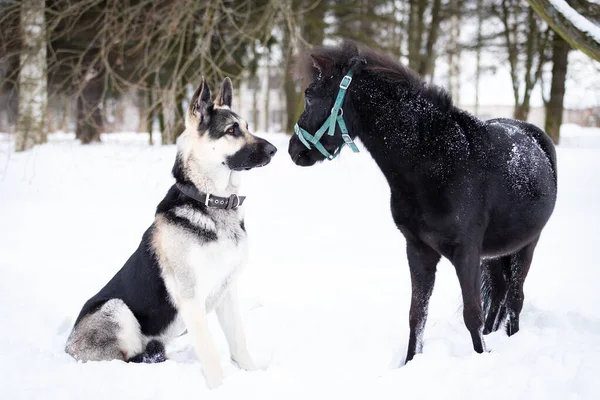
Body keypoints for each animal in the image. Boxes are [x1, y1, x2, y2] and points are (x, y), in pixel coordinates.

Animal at [67, 76, 278, 390]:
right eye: (231, 130)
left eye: (248, 126)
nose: (275, 150)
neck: (211, 202)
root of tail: (67, 346)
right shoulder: (191, 298)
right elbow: (209, 351)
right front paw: (219, 388)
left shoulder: (228, 291)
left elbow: (238, 342)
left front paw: (252, 376)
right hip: (117, 309)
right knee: (126, 357)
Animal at [288, 42, 556, 364]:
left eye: (310, 95)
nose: (293, 150)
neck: (439, 162)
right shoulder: (418, 250)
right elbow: (417, 315)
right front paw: (411, 363)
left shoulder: (466, 253)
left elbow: (472, 315)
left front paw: (479, 357)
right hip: (495, 253)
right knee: (500, 294)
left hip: (527, 245)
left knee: (515, 299)